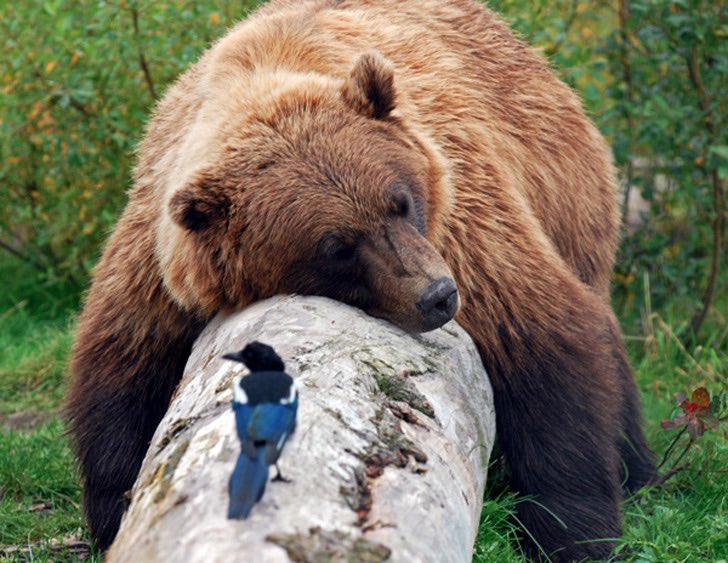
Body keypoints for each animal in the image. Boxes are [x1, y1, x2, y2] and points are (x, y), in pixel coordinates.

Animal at [66, 0, 656, 559]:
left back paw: (639, 471)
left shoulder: (463, 219)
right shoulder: (159, 258)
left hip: (567, 194)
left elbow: (541, 340)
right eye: (337, 247)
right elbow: (122, 366)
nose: (437, 297)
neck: (264, 74)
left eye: (401, 201)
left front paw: (574, 531)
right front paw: (116, 508)